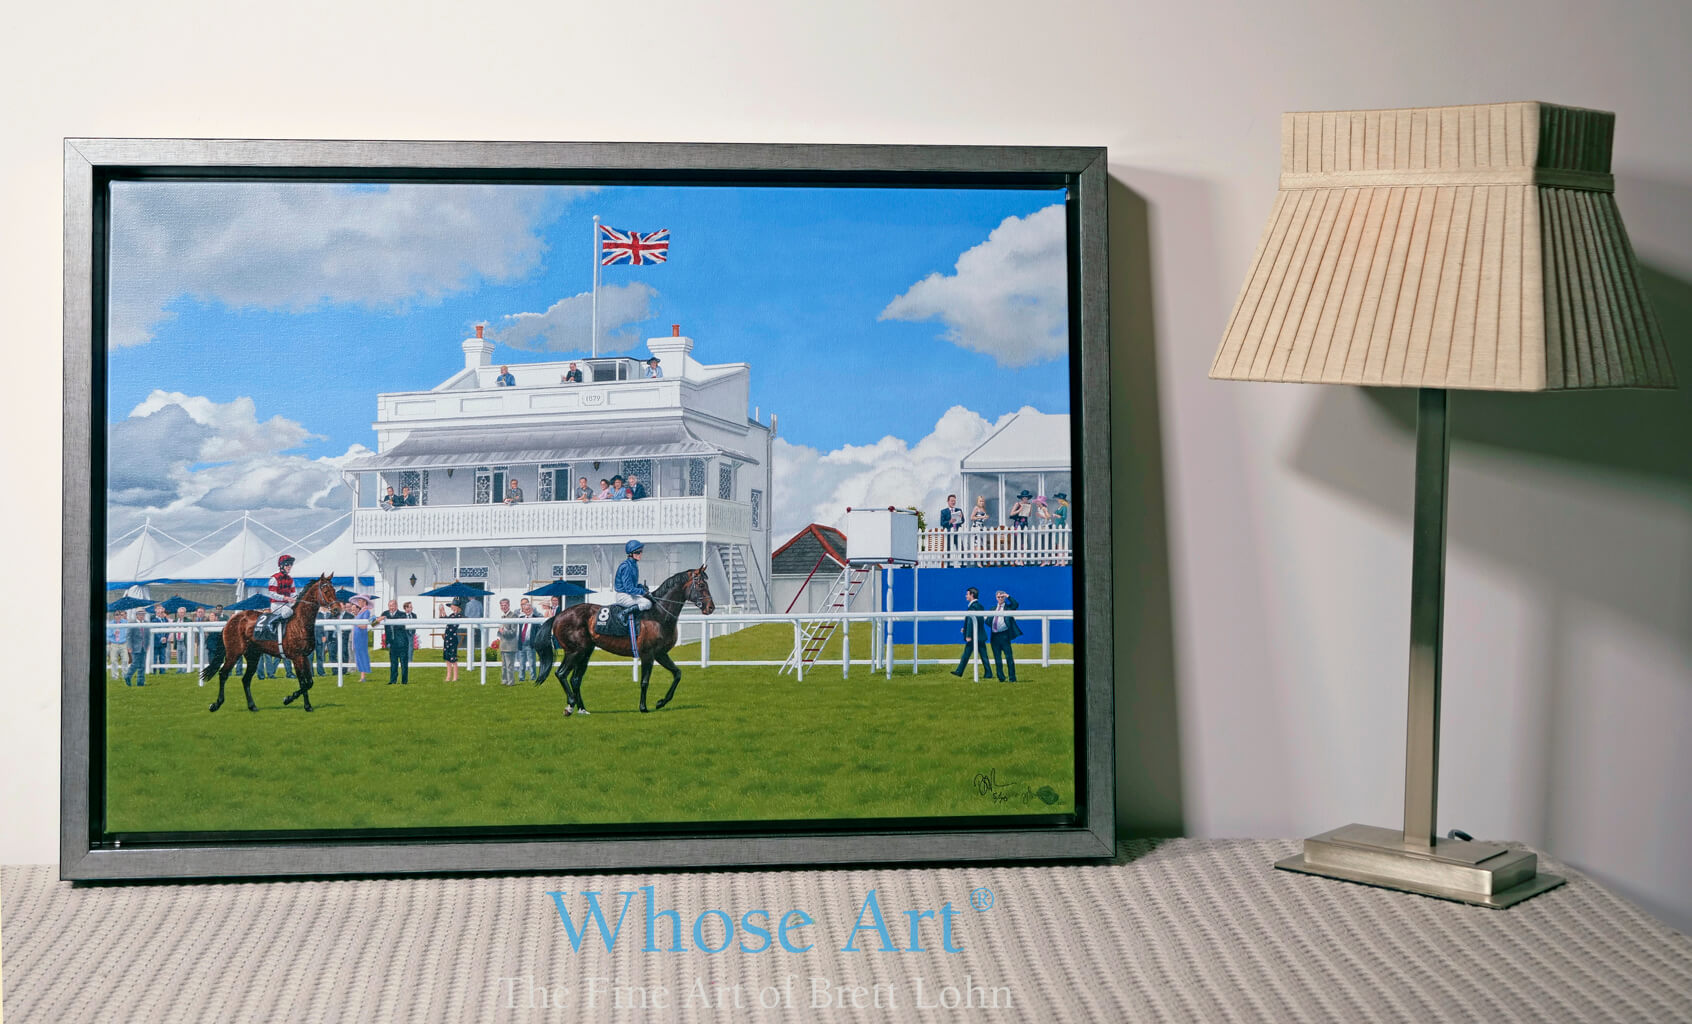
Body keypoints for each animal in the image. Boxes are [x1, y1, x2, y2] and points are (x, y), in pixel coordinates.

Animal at [201, 575, 340, 710]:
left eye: (334, 590)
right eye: (326, 591)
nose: (337, 610)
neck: (300, 623)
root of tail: (231, 620)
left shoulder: (304, 656)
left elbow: (309, 682)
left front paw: (303, 703)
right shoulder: (297, 657)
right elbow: (303, 682)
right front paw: (291, 700)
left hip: (253, 656)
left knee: (246, 679)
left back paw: (252, 706)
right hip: (233, 653)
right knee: (223, 673)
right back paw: (216, 704)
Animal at [531, 561, 710, 714]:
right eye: (701, 585)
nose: (710, 607)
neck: (658, 614)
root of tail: (559, 615)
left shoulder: (660, 653)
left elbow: (677, 673)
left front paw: (661, 702)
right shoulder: (648, 654)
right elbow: (645, 681)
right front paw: (643, 707)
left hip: (585, 652)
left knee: (576, 679)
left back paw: (581, 708)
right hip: (574, 651)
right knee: (561, 673)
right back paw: (570, 704)